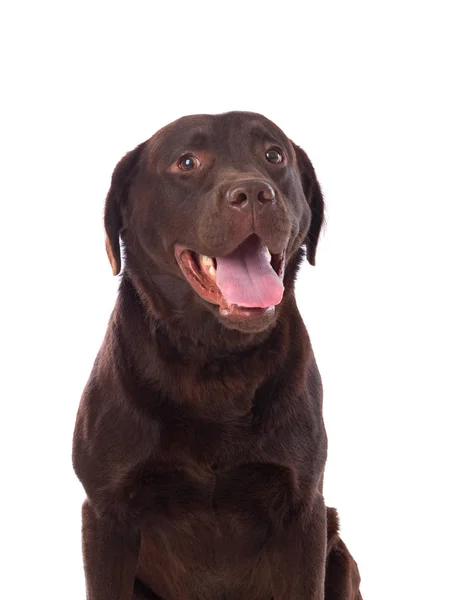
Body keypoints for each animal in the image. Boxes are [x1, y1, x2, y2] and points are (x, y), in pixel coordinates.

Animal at [72, 112, 362, 600]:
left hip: (338, 551)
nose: (254, 193)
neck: (216, 359)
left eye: (274, 155)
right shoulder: (106, 513)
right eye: (187, 162)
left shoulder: (303, 513)